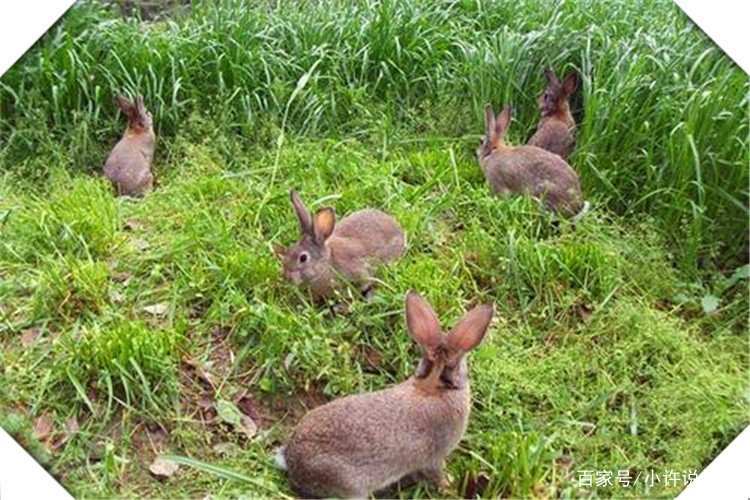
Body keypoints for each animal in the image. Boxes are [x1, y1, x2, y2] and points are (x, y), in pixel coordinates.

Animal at [274, 190, 406, 300]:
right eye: (290, 250)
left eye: (303, 258)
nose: (287, 277)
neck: (326, 263)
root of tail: (400, 232)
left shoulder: (359, 269)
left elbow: (364, 281)